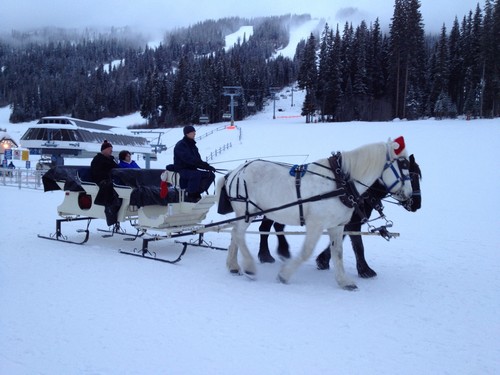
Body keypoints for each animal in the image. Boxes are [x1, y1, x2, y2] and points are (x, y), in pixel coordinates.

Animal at [258, 153, 422, 280]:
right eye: (410, 176)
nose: (417, 204)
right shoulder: (352, 223)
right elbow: (358, 246)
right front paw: (365, 270)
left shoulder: (343, 222)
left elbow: (340, 241)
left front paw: (323, 260)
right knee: (265, 228)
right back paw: (266, 255)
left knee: (275, 226)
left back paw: (281, 252)